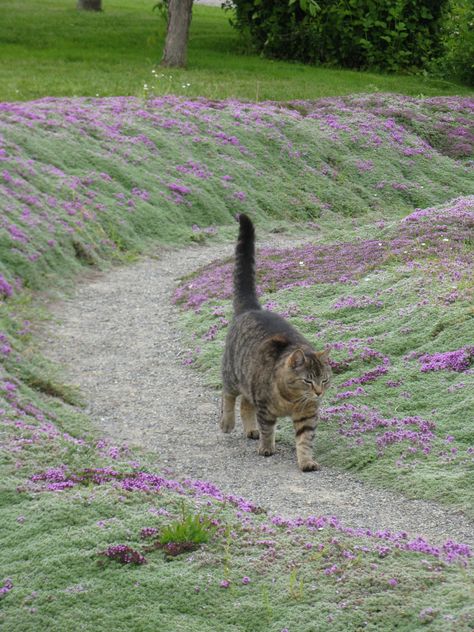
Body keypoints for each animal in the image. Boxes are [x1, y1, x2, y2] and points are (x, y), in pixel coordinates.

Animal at [220, 215, 332, 472]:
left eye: (324, 380)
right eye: (308, 380)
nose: (319, 392)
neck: (292, 400)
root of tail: (252, 308)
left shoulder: (308, 415)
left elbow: (304, 440)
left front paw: (306, 461)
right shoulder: (264, 405)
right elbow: (267, 429)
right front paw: (267, 447)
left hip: (247, 380)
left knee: (245, 404)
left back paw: (249, 429)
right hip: (233, 373)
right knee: (229, 396)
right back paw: (227, 422)